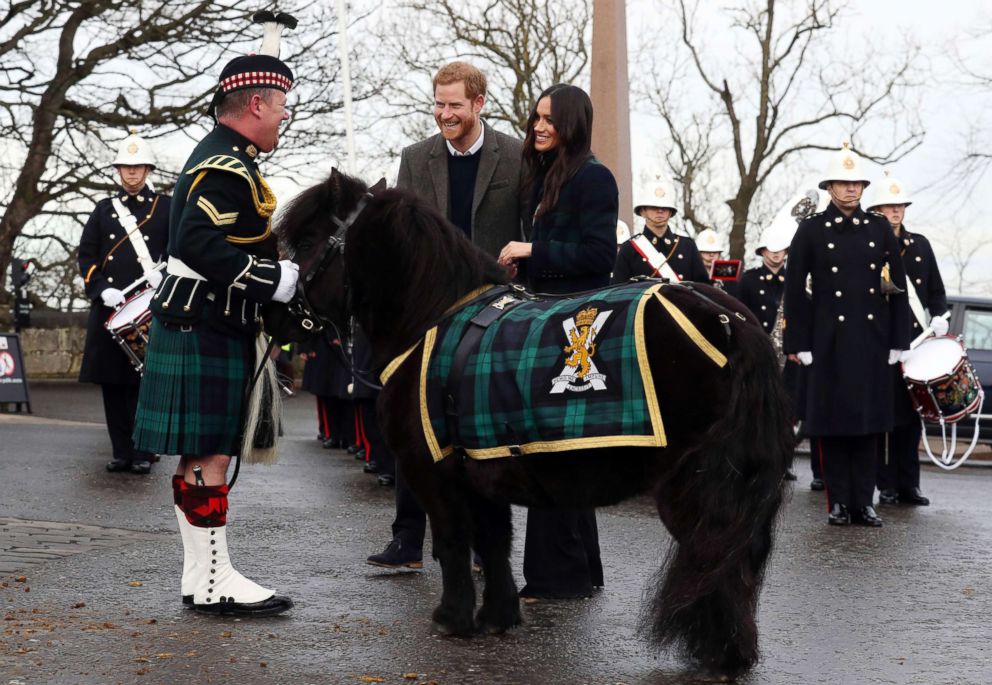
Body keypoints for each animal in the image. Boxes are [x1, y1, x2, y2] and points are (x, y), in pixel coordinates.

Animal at [270, 170, 792, 672]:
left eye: (309, 239)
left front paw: (453, 617)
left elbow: (454, 538)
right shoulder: (482, 463)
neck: (431, 318)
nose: (278, 314)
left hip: (691, 485)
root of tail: (729, 319)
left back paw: (721, 652)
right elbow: (494, 540)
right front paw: (498, 615)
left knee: (715, 556)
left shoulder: (433, 470)